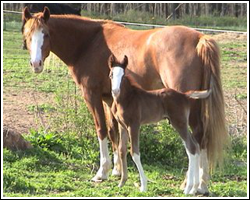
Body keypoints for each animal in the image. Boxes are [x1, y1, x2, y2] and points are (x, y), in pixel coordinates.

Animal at [109, 54, 211, 192]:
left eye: (123, 75)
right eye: (111, 74)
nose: (115, 91)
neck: (126, 99)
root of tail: (184, 95)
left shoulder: (134, 125)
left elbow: (134, 153)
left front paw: (143, 186)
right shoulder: (122, 126)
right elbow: (122, 150)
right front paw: (122, 182)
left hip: (179, 123)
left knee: (192, 147)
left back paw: (189, 189)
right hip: (181, 123)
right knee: (193, 146)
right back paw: (192, 188)